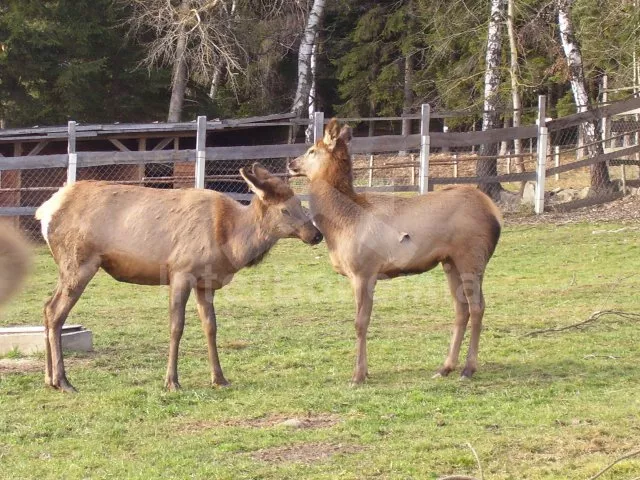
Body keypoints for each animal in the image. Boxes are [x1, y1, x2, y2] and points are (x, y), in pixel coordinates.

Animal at [37, 163, 322, 392]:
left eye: (300, 203)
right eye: (285, 210)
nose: (316, 234)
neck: (230, 243)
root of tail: (45, 212)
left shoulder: (206, 282)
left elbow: (211, 326)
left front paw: (219, 378)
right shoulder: (181, 271)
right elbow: (177, 326)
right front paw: (172, 381)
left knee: (47, 307)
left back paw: (49, 379)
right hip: (79, 262)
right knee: (56, 311)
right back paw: (63, 381)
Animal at [290, 119, 504, 382]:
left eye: (311, 150)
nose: (291, 164)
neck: (340, 225)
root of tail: (494, 213)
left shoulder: (363, 271)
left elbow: (360, 323)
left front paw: (358, 375)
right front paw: (364, 371)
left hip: (471, 257)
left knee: (477, 307)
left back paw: (468, 368)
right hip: (450, 261)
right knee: (461, 308)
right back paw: (445, 367)